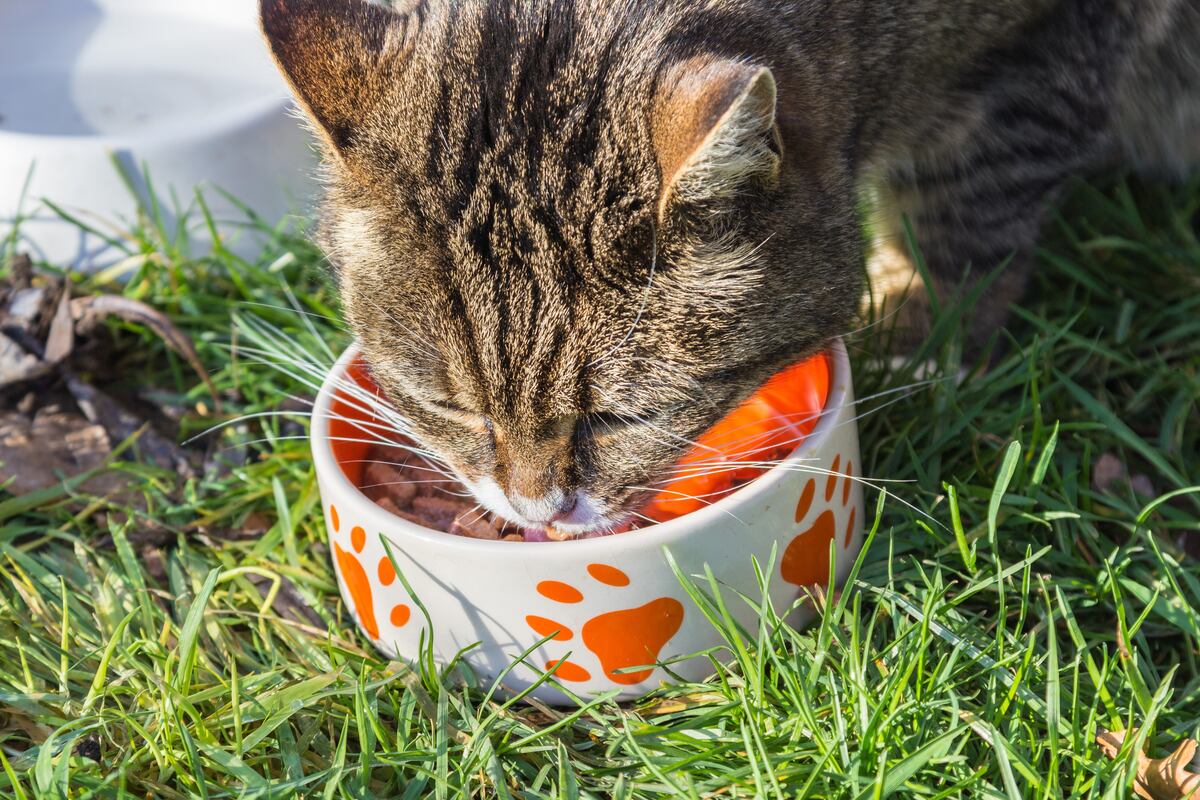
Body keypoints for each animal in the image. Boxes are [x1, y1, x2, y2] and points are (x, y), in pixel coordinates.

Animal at [262, 0, 1200, 537]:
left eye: (620, 417)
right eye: (452, 407)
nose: (536, 511)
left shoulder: (1041, 56)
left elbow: (965, 213)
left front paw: (924, 343)